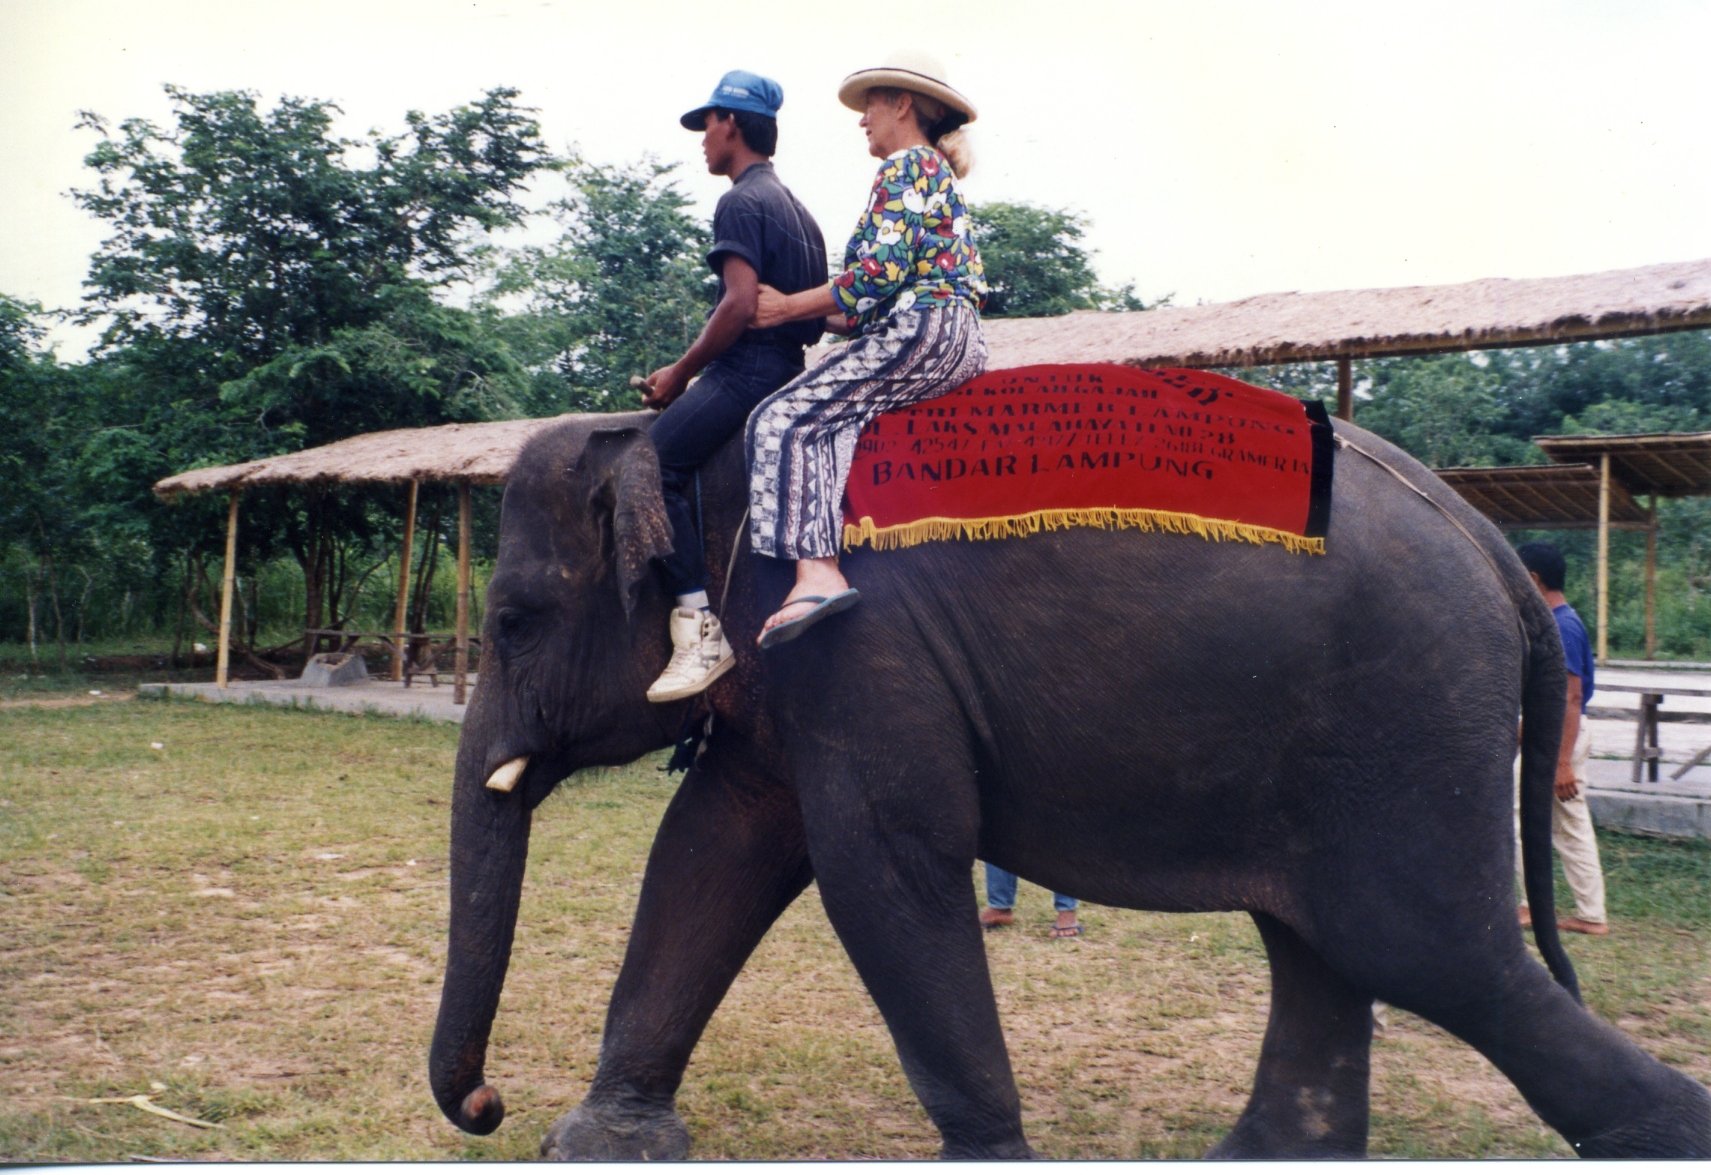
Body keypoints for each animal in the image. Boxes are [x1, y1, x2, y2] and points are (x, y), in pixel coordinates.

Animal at [427, 408, 1711, 1159]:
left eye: (514, 618)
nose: (486, 1104)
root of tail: (1491, 544)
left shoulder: (857, 642)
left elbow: (880, 868)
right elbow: (713, 846)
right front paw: (598, 1143)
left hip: (1404, 719)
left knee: (1431, 951)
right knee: (1323, 942)